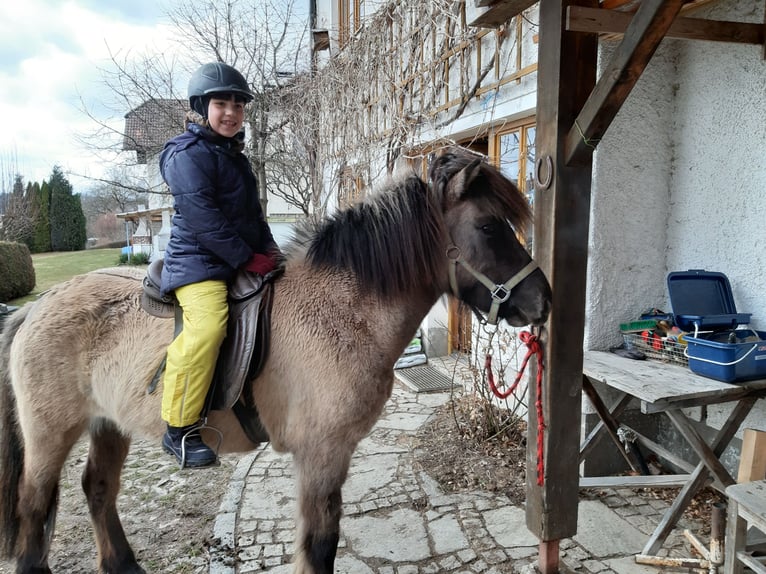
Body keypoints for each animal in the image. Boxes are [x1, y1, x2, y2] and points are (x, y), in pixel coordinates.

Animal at [0, 147, 551, 574]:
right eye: (488, 226)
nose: (542, 301)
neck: (342, 309)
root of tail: (35, 309)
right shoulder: (322, 454)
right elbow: (320, 546)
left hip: (107, 423)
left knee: (97, 488)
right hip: (49, 433)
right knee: (33, 506)